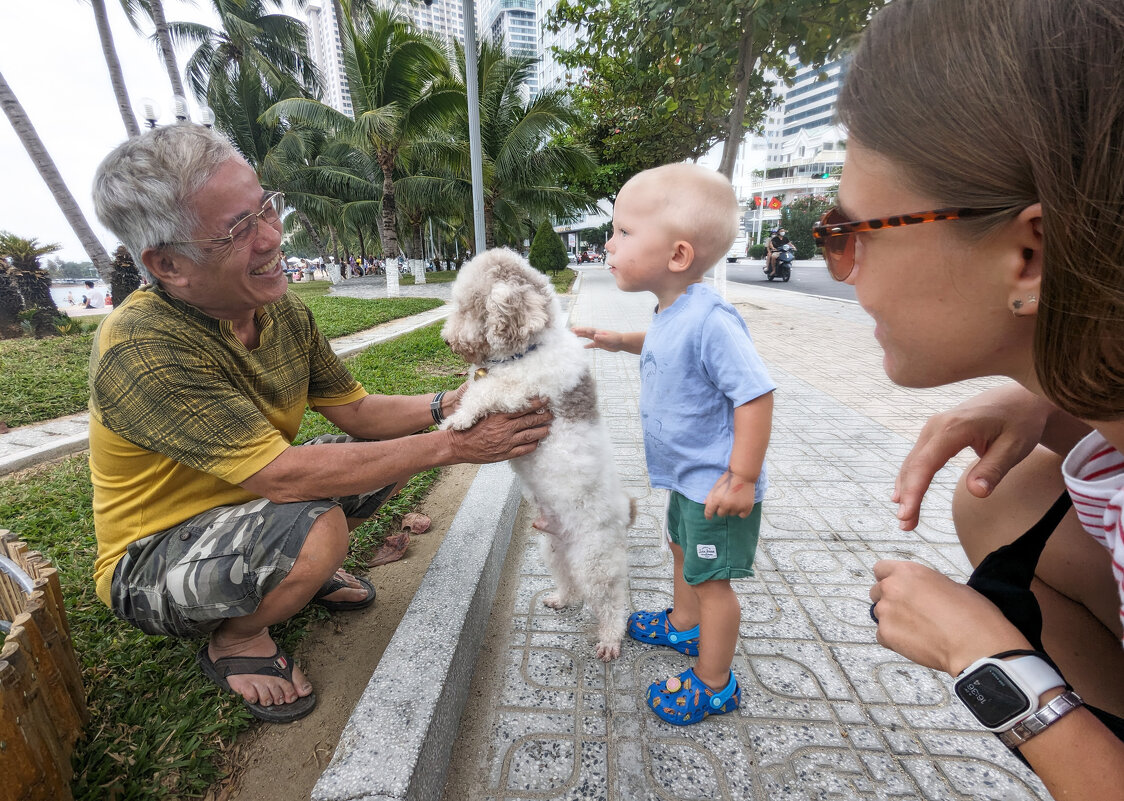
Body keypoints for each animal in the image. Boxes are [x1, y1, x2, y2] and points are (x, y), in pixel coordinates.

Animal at [440, 247, 633, 660]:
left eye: (468, 307)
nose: (447, 340)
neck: (528, 351)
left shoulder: (521, 391)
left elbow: (483, 392)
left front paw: (456, 421)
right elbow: (475, 387)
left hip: (595, 559)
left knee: (611, 601)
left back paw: (610, 638)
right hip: (553, 549)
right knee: (570, 582)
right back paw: (561, 599)